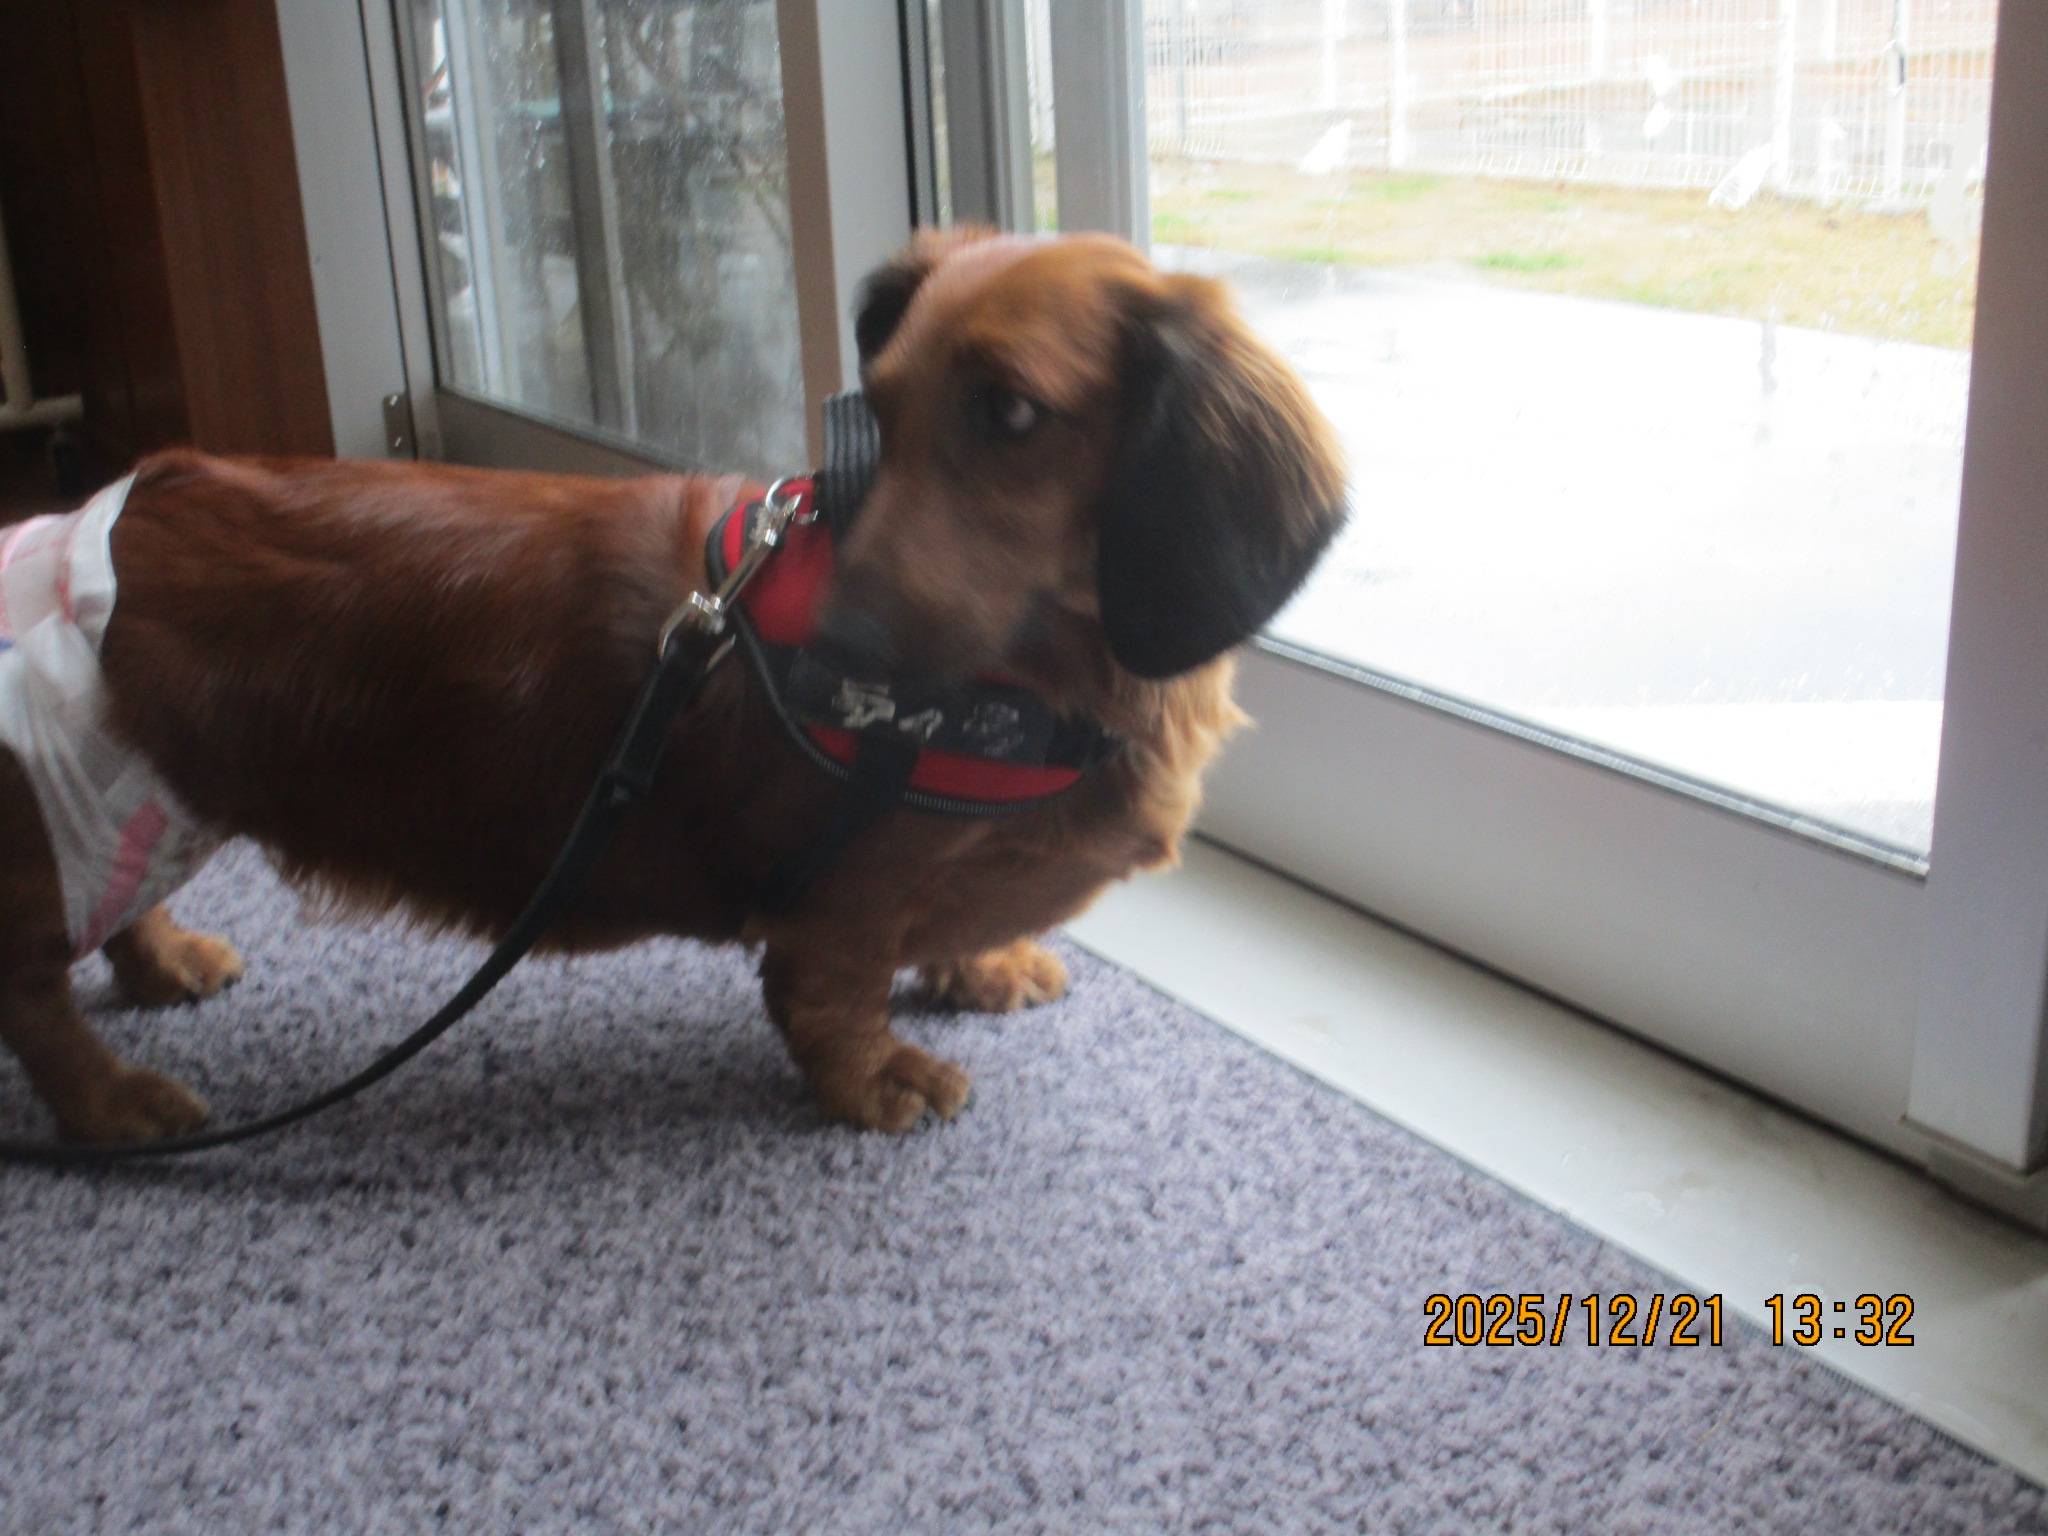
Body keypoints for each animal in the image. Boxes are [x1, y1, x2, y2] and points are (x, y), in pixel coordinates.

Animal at [0, 228, 1345, 1144]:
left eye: (1012, 412)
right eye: (882, 409)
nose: (834, 647)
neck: (1029, 684)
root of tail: (91, 524)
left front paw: (982, 965)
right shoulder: (844, 901)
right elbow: (833, 997)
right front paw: (881, 1079)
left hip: (145, 804)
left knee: (116, 918)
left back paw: (164, 963)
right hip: (64, 824)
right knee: (35, 1000)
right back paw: (112, 1104)